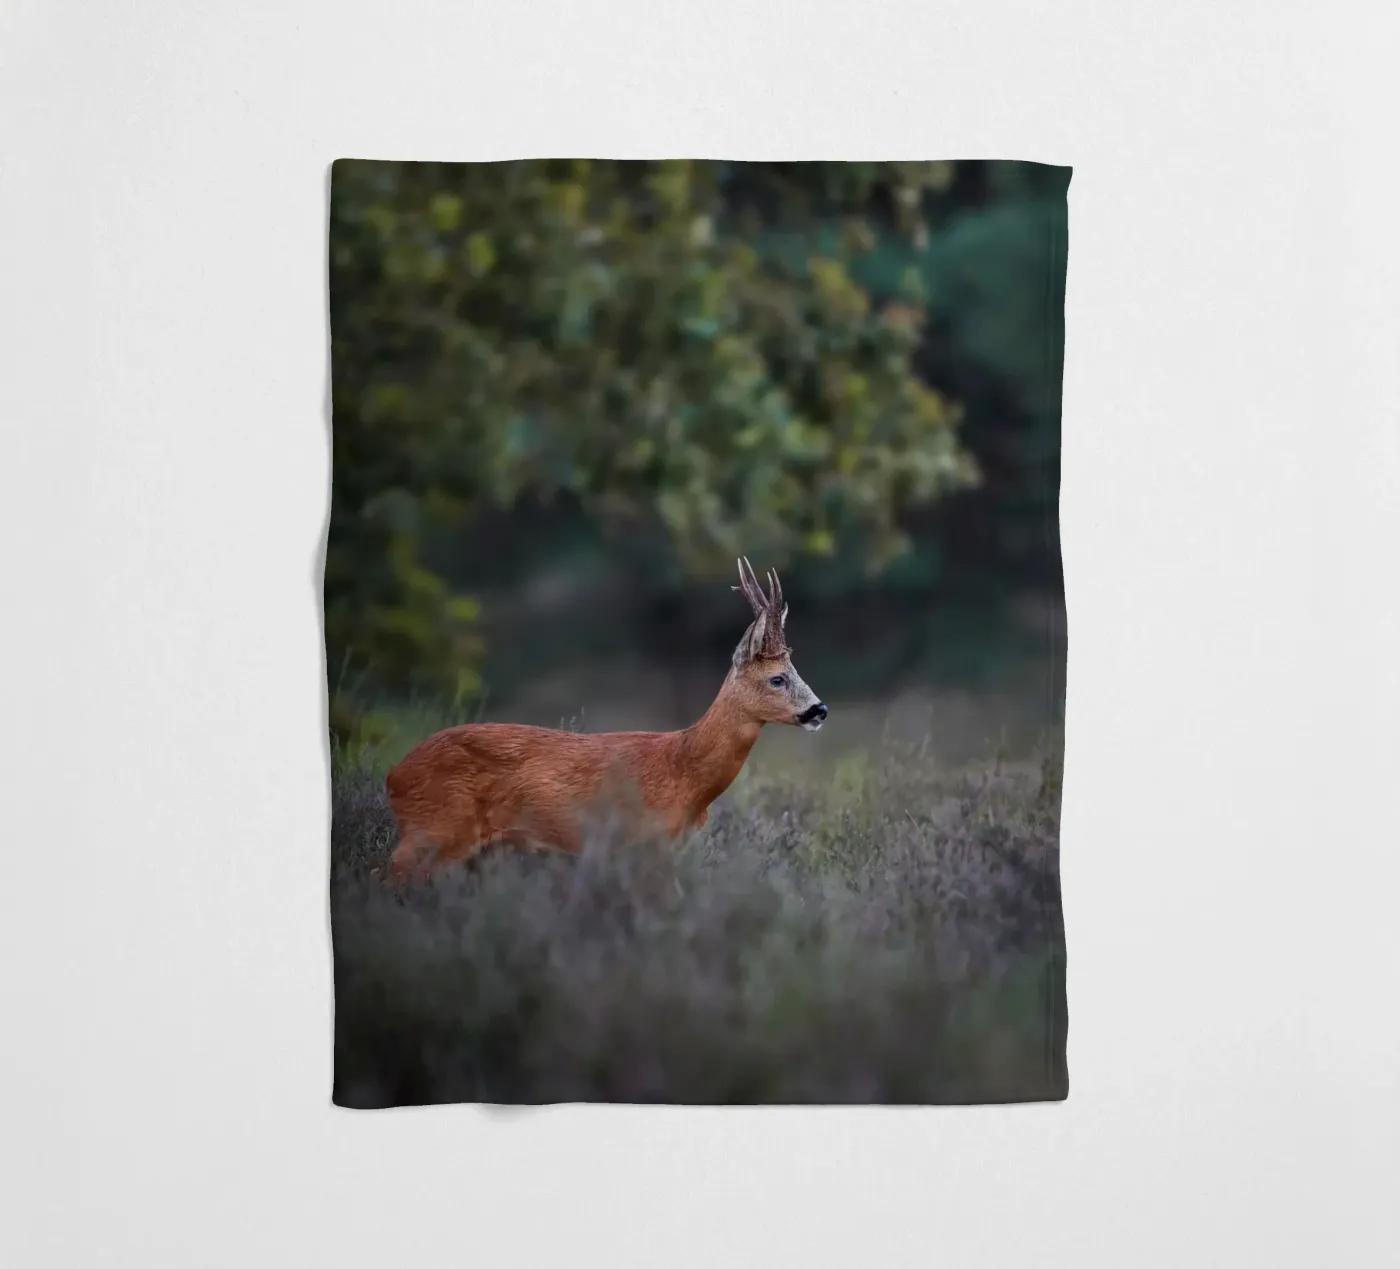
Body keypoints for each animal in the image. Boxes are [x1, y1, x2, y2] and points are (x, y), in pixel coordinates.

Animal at [381, 558, 828, 881]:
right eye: (777, 677)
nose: (819, 710)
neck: (684, 772)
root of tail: (394, 777)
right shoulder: (642, 845)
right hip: (436, 830)